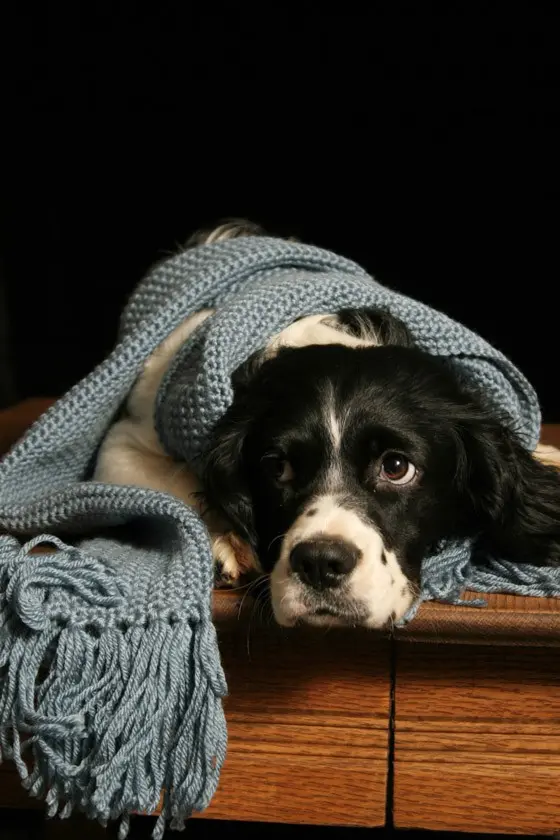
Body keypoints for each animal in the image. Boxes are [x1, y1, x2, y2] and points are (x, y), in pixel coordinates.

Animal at [95, 220, 560, 628]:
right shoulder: (123, 443)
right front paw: (226, 539)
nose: (320, 562)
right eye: (276, 467)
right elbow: (176, 485)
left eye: (396, 467)